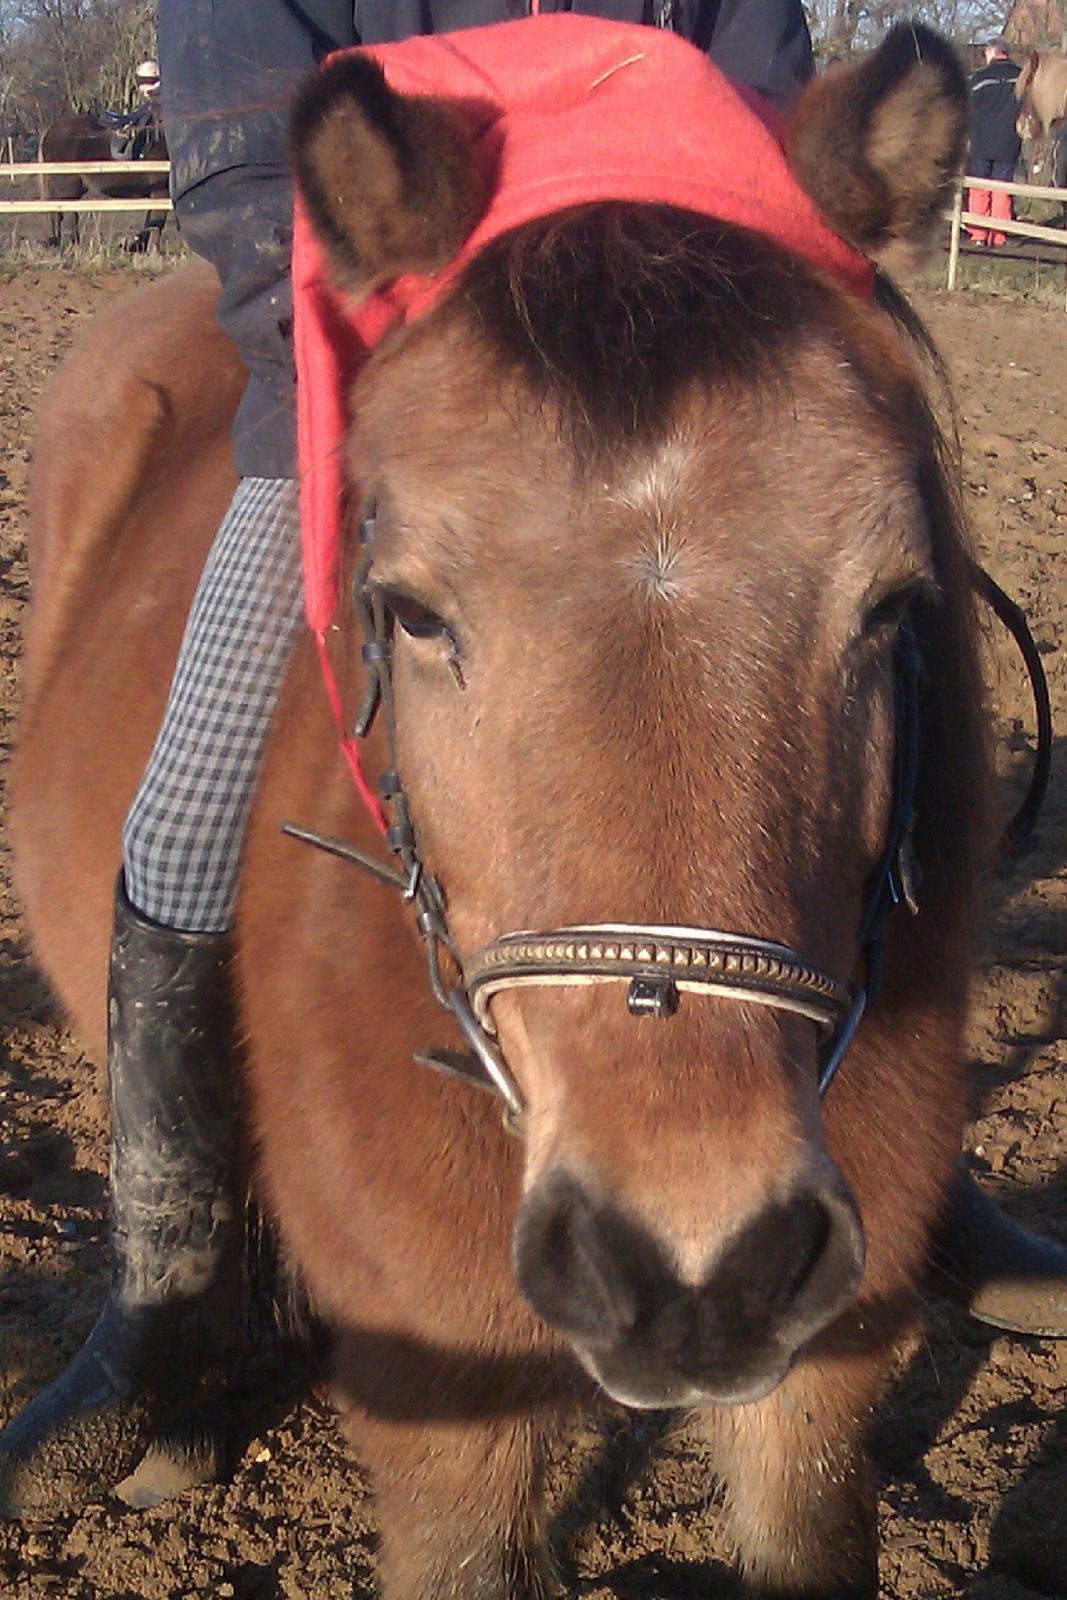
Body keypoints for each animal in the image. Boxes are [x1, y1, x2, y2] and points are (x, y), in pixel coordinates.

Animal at [37, 111, 168, 249]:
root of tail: (51, 130)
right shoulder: (161, 193)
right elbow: (157, 222)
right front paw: (154, 250)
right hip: (67, 190)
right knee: (68, 217)